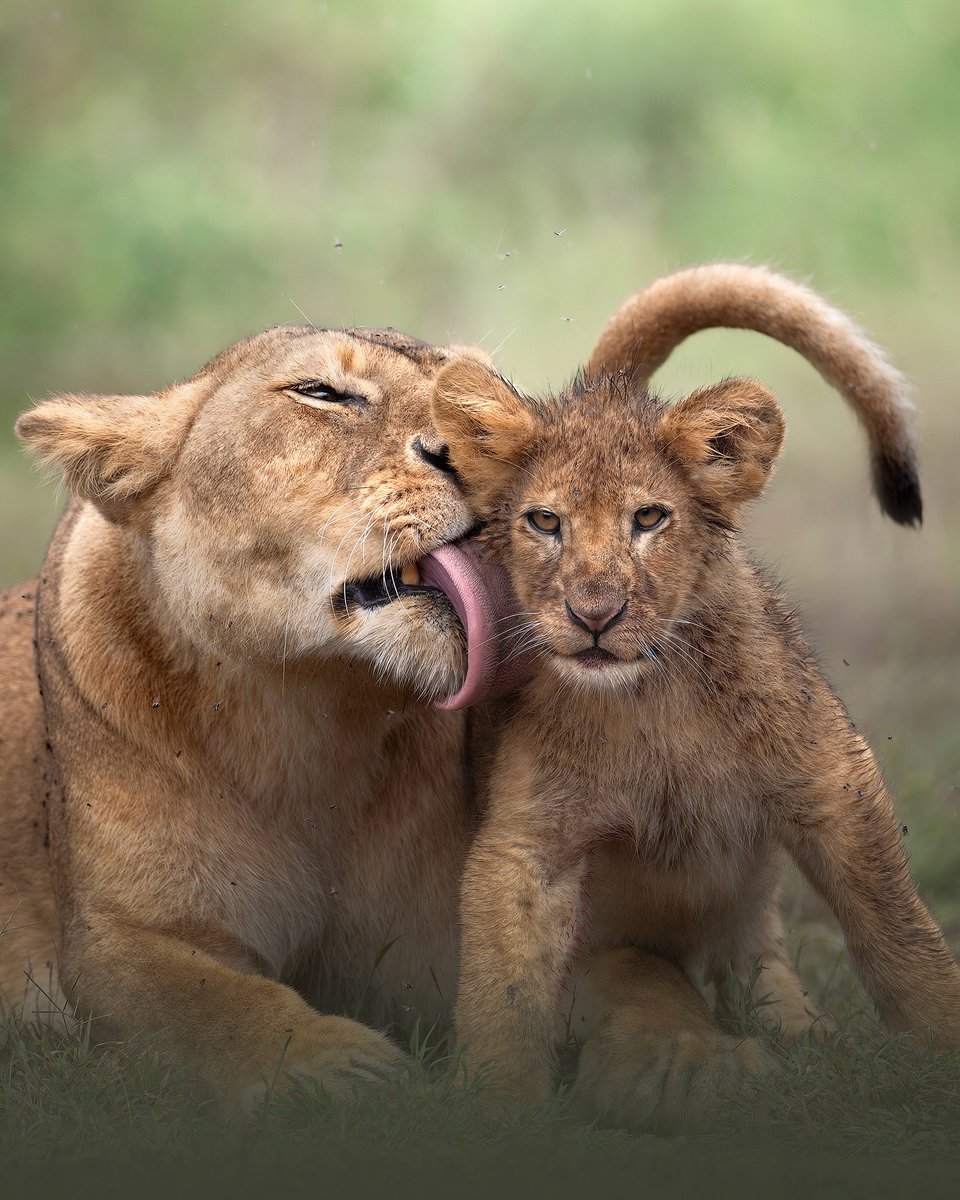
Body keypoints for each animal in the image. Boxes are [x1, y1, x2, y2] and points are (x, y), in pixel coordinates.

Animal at [0, 265, 922, 1120]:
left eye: (480, 402)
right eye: (322, 393)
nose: (467, 454)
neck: (312, 712)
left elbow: (639, 981)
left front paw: (693, 1063)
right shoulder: (119, 942)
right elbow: (214, 1000)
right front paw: (337, 1069)